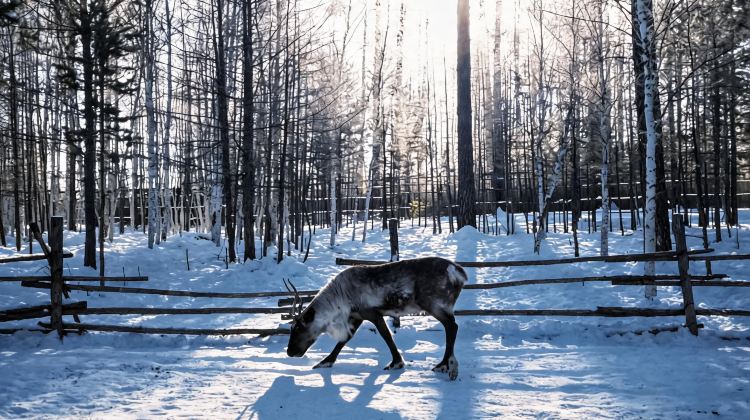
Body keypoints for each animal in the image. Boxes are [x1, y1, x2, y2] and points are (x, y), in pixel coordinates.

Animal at [284, 257, 467, 380]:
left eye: (298, 327)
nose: (289, 352)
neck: (339, 298)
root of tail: (457, 271)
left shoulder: (372, 314)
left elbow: (387, 336)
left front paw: (396, 363)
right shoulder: (356, 317)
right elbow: (343, 341)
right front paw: (325, 362)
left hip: (434, 304)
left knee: (452, 326)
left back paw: (445, 365)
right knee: (451, 326)